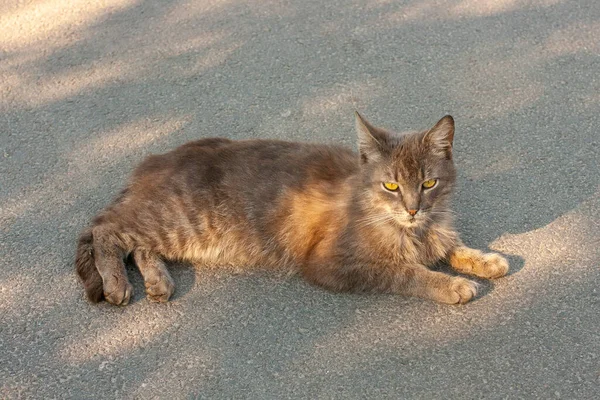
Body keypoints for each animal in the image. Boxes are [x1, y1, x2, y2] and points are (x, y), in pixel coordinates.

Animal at [74, 112, 506, 306]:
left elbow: (453, 246)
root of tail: (154, 159)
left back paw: (158, 281)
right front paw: (450, 284)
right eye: (392, 185)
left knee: (139, 246)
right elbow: (406, 271)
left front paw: (485, 260)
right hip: (175, 220)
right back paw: (117, 282)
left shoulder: (437, 232)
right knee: (107, 230)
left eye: (429, 183)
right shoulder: (335, 263)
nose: (414, 209)